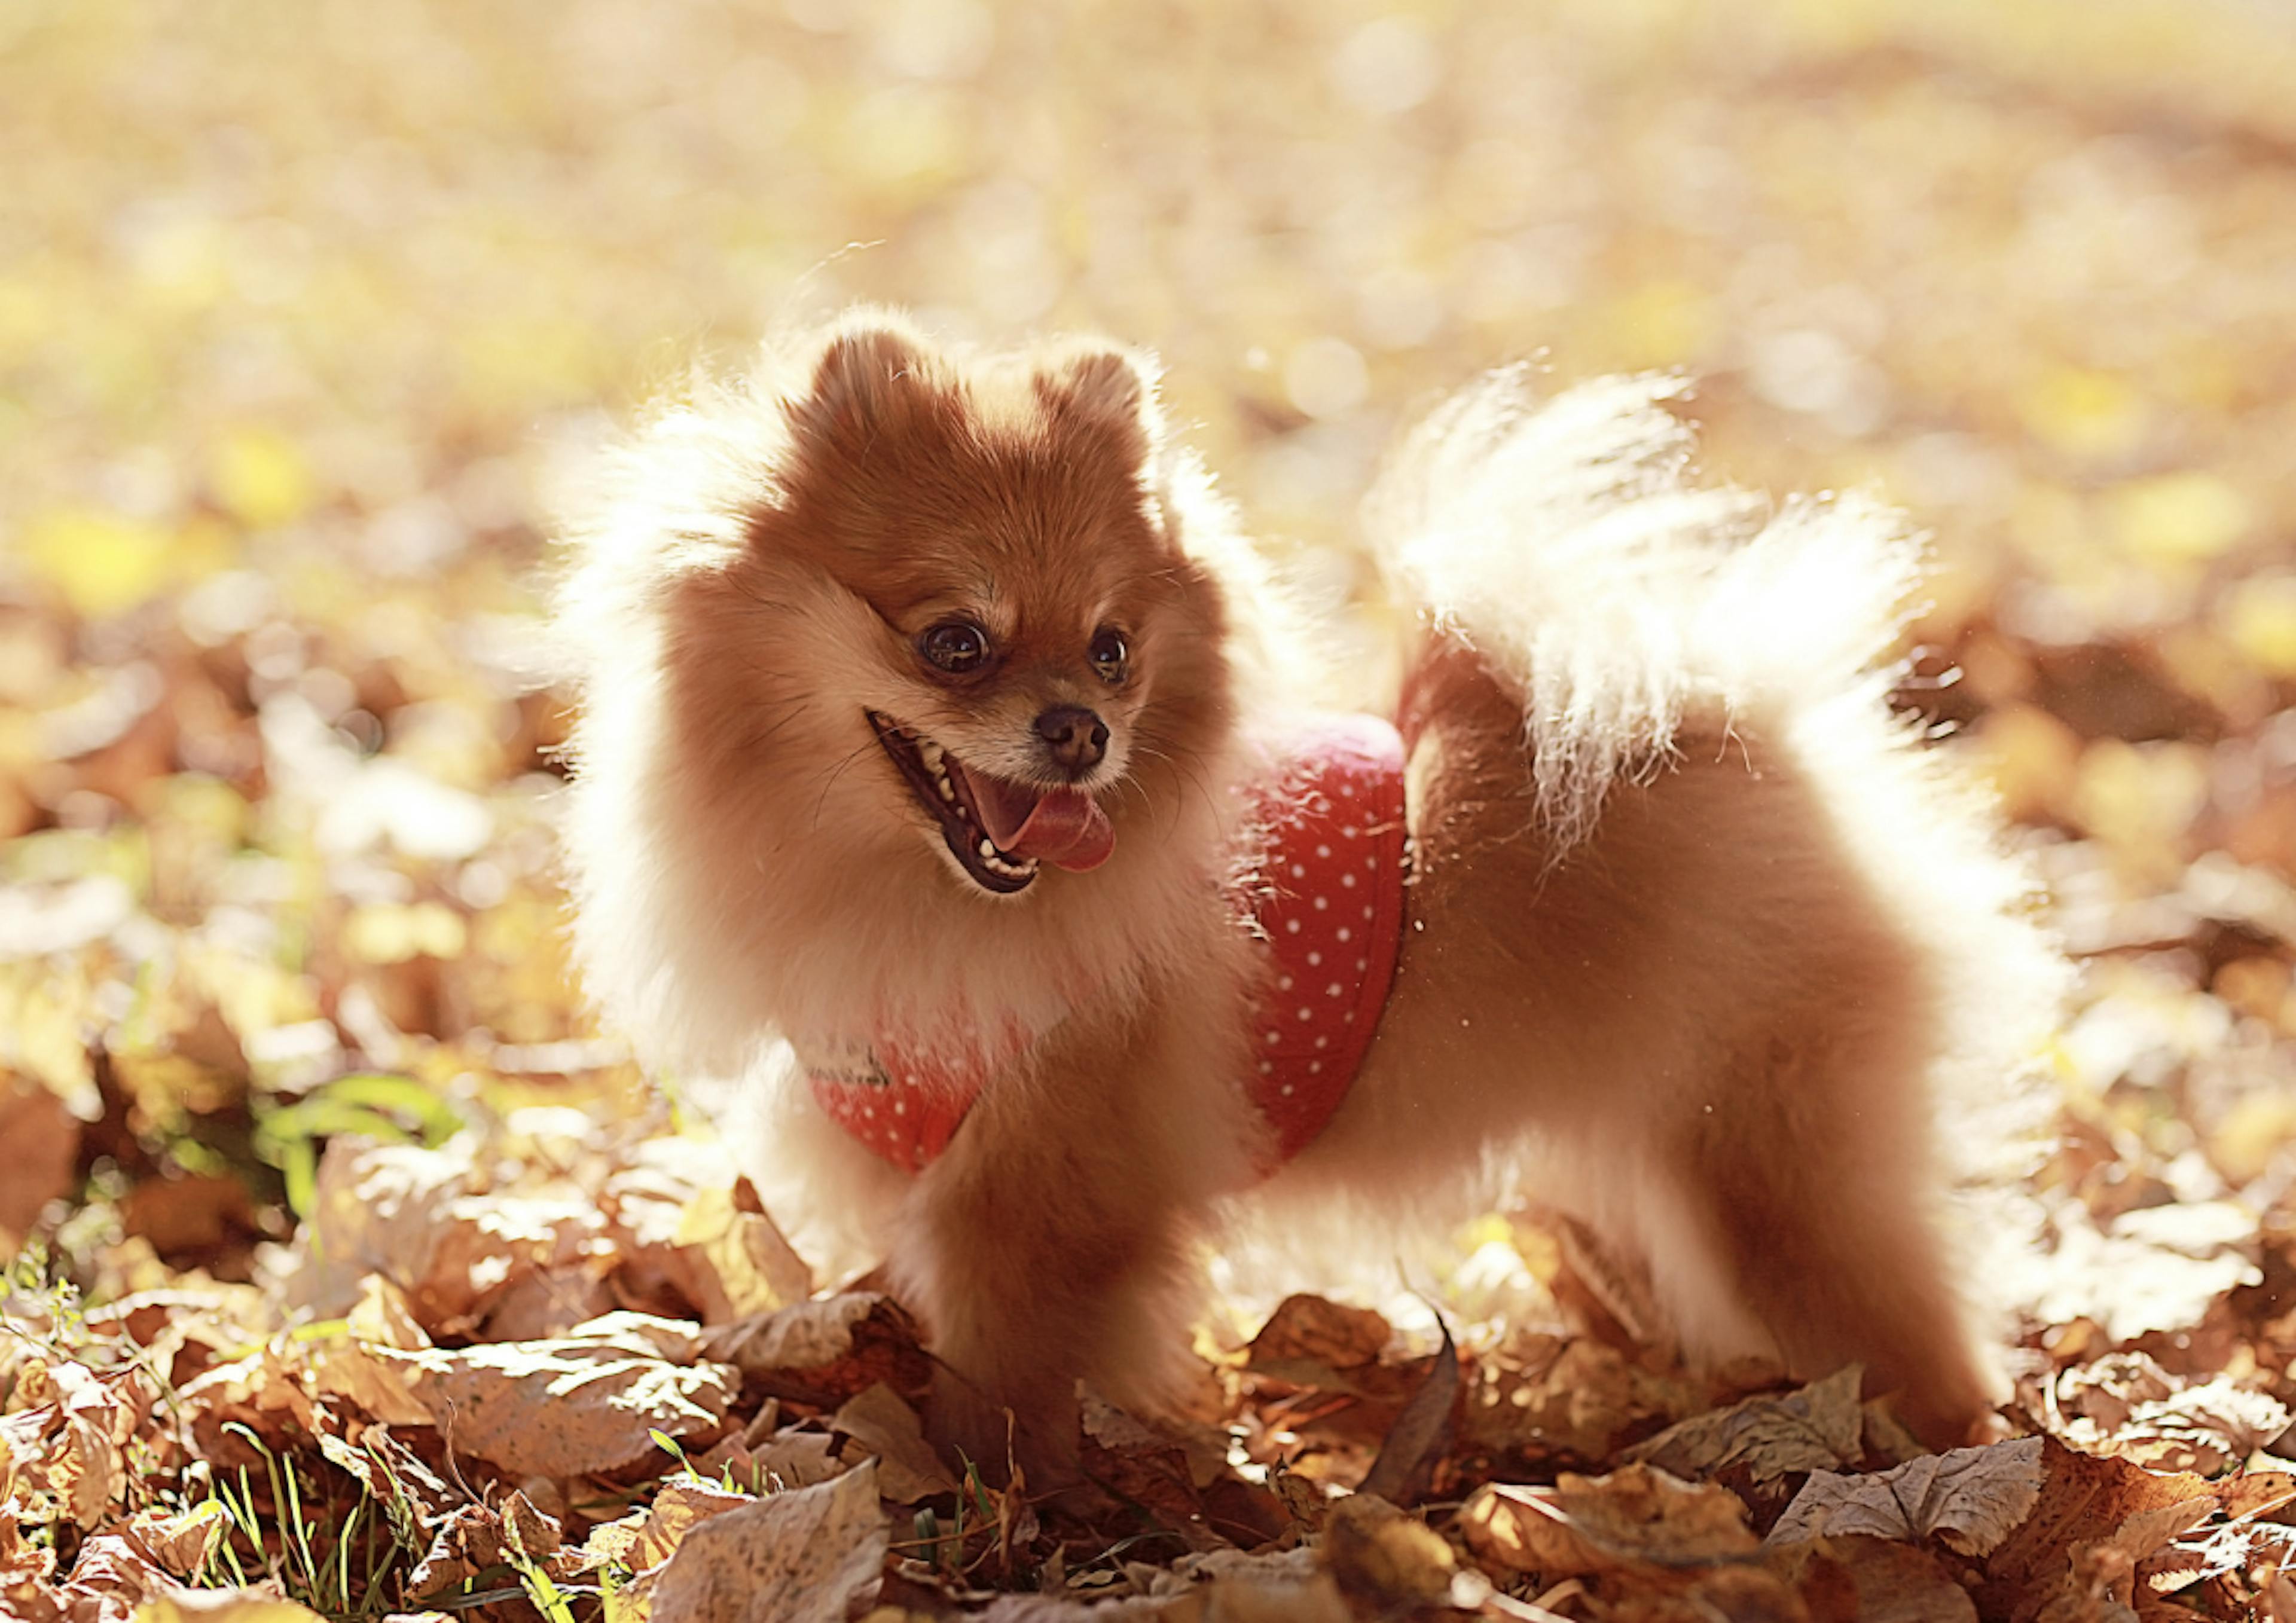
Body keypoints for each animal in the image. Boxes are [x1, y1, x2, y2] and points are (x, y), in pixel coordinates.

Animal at [551, 312, 2066, 1478]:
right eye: (954, 642)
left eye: (1111, 648)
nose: (1079, 731)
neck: (915, 892)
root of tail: (1730, 712)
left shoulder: (1044, 1188)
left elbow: (1008, 1367)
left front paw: (992, 1492)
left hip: (1774, 1154)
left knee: (1897, 1317)